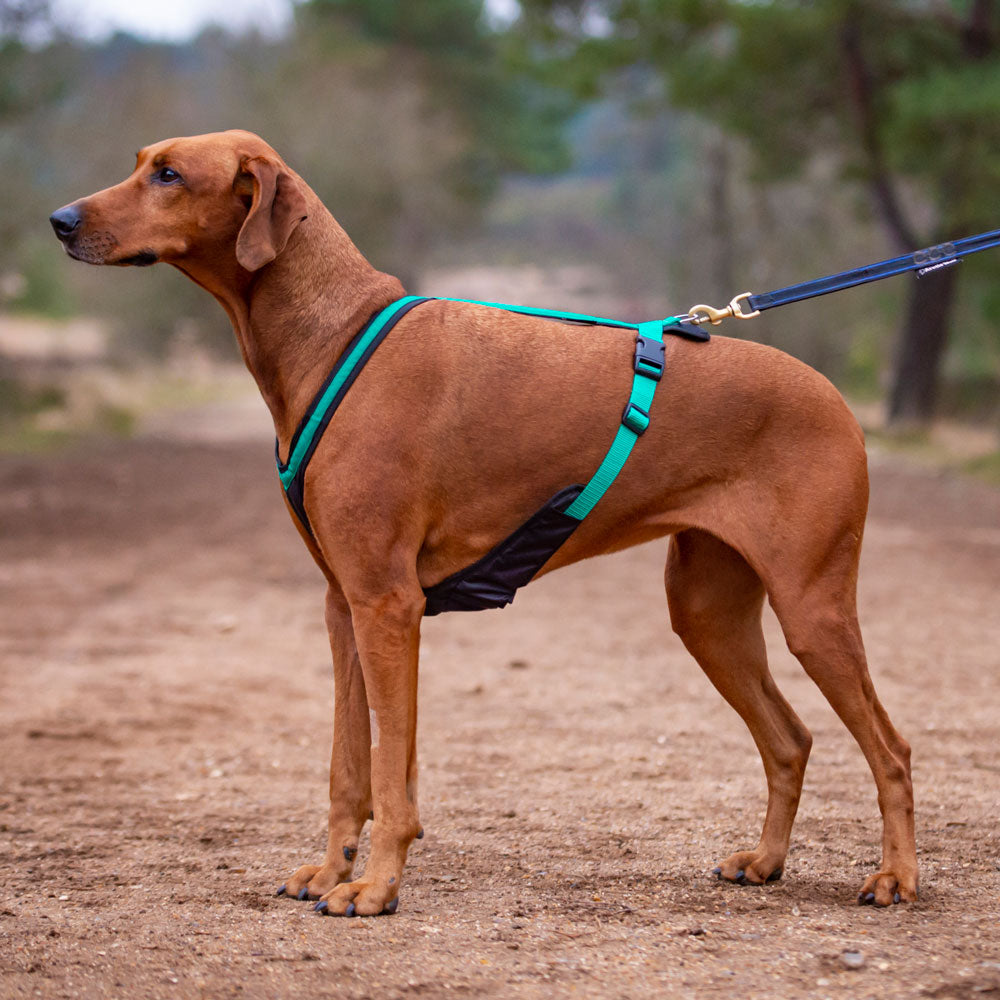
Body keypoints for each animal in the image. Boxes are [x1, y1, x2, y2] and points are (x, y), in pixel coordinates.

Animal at [50, 131, 916, 916]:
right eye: (139, 162)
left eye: (168, 174)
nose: (59, 219)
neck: (332, 331)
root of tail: (838, 398)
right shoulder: (344, 605)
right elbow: (348, 768)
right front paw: (330, 872)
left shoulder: (388, 606)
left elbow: (390, 769)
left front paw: (376, 889)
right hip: (706, 612)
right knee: (790, 739)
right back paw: (766, 861)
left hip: (811, 608)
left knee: (892, 748)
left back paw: (896, 877)